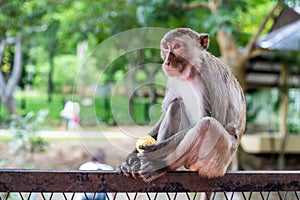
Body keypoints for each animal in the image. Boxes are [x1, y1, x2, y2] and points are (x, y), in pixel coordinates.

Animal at [116, 27, 245, 183]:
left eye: (177, 46)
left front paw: (157, 148)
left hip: (219, 160)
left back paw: (163, 165)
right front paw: (129, 158)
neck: (189, 73)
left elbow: (211, 118)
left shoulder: (209, 76)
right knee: (176, 106)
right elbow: (167, 109)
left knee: (206, 125)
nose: (166, 62)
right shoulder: (172, 80)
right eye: (166, 47)